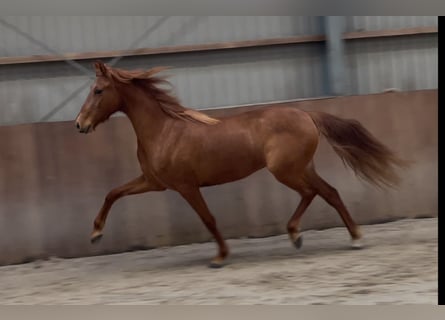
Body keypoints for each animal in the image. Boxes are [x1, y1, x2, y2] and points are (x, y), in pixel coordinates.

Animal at [74, 60, 408, 268]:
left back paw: (315, 236)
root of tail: (306, 114)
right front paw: (95, 234)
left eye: (98, 90)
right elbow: (113, 193)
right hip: (301, 168)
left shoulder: (186, 186)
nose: (79, 124)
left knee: (314, 193)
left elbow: (208, 219)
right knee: (329, 193)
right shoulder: (154, 182)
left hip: (286, 171)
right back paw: (338, 237)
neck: (165, 130)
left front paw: (220, 257)